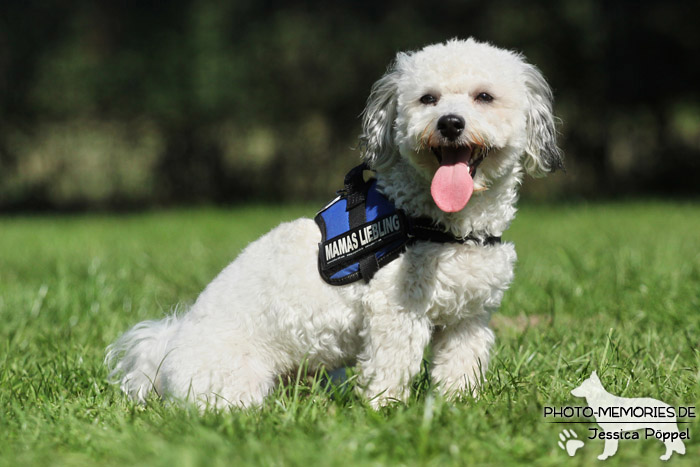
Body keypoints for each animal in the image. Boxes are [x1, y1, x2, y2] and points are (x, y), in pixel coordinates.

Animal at [105, 37, 564, 410]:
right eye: (428, 99)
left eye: (484, 96)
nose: (450, 123)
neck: (440, 225)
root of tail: (166, 353)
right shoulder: (394, 313)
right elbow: (390, 368)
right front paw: (386, 410)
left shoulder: (467, 318)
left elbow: (461, 367)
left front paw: (459, 406)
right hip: (237, 381)